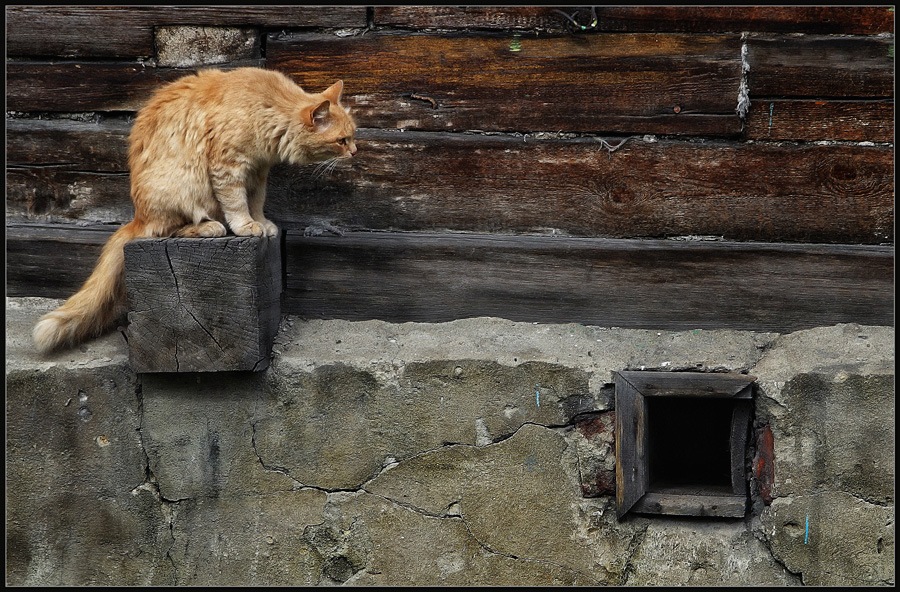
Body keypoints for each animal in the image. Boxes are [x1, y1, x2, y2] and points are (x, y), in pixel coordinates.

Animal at [35, 66, 358, 352]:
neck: (268, 106)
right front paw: (245, 226)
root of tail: (137, 217)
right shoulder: (228, 166)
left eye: (353, 136)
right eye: (342, 141)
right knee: (168, 230)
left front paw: (262, 222)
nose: (355, 152)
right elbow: (237, 204)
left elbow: (256, 202)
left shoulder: (258, 172)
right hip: (183, 185)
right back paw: (209, 227)